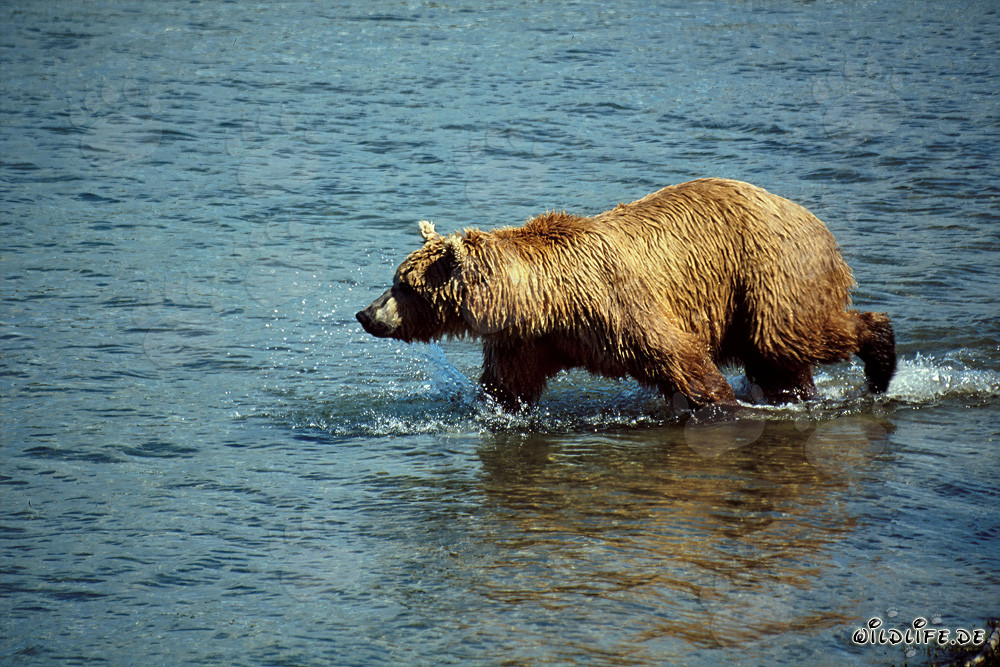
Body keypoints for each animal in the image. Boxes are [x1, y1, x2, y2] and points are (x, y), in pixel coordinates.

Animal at [356, 178, 896, 411]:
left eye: (401, 284)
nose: (365, 314)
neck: (542, 300)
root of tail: (811, 218)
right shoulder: (527, 341)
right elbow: (508, 388)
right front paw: (491, 409)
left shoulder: (616, 306)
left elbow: (678, 354)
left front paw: (722, 403)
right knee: (779, 360)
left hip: (768, 273)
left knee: (791, 336)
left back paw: (880, 361)